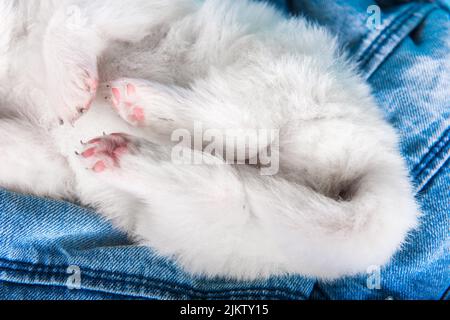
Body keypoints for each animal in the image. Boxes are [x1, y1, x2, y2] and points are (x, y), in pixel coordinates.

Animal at [0, 0, 418, 280]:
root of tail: (382, 158)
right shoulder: (48, 158)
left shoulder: (132, 8)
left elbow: (69, 17)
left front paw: (68, 84)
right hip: (211, 227)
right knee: (222, 184)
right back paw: (124, 152)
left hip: (274, 72)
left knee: (240, 126)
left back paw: (147, 103)